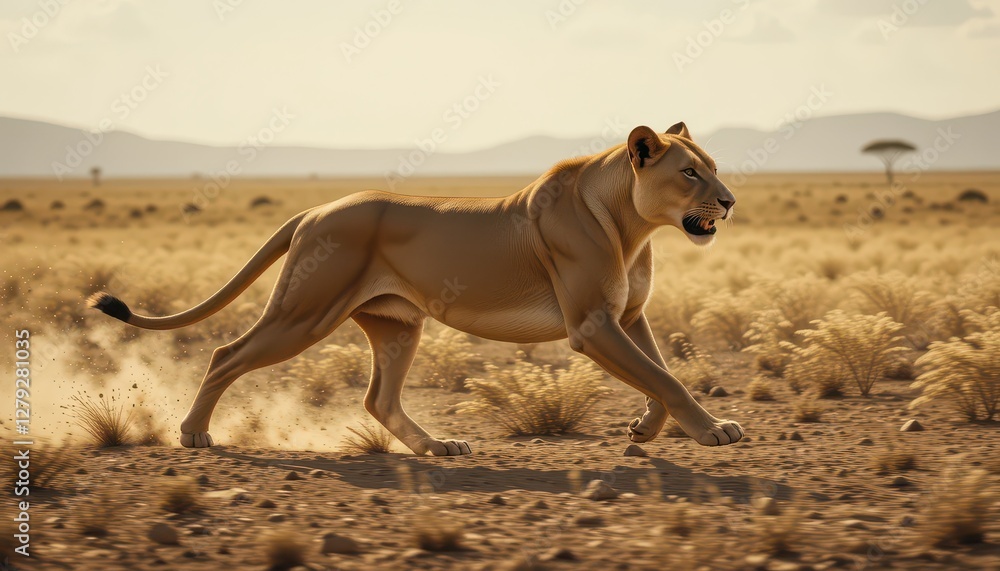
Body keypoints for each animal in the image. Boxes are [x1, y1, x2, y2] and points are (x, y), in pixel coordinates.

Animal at [88, 121, 743, 455]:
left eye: (713, 166)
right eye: (690, 172)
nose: (731, 201)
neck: (632, 226)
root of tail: (314, 210)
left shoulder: (627, 317)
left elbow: (660, 374)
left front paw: (645, 429)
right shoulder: (592, 325)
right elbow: (664, 377)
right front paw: (712, 430)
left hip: (397, 323)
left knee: (379, 398)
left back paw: (437, 447)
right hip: (305, 311)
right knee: (227, 354)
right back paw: (193, 434)